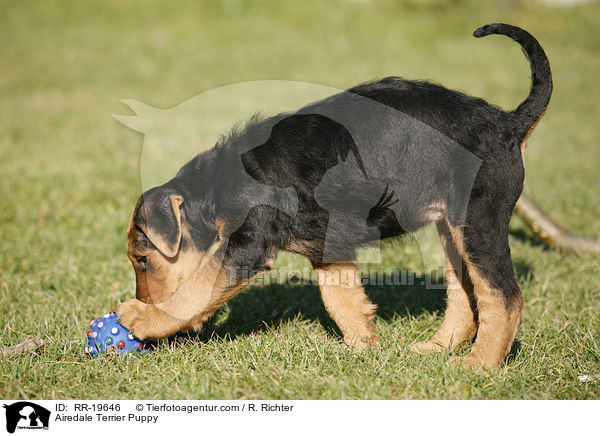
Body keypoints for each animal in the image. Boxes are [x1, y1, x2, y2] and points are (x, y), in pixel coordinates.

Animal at [118, 23, 552, 368]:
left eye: (143, 260)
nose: (142, 303)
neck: (217, 184)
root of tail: (509, 123)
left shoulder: (249, 245)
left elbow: (199, 286)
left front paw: (142, 317)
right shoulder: (330, 247)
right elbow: (342, 300)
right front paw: (363, 349)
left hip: (477, 220)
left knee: (503, 296)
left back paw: (479, 365)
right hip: (451, 228)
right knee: (464, 293)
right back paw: (436, 348)